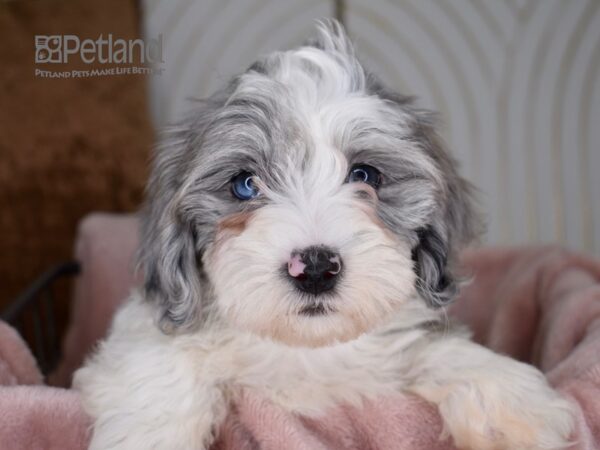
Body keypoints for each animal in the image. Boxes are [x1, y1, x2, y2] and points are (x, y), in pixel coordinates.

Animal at [72, 19, 576, 448]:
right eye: (245, 184)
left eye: (366, 175)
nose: (315, 267)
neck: (304, 351)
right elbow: (160, 364)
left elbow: (438, 348)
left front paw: (516, 404)